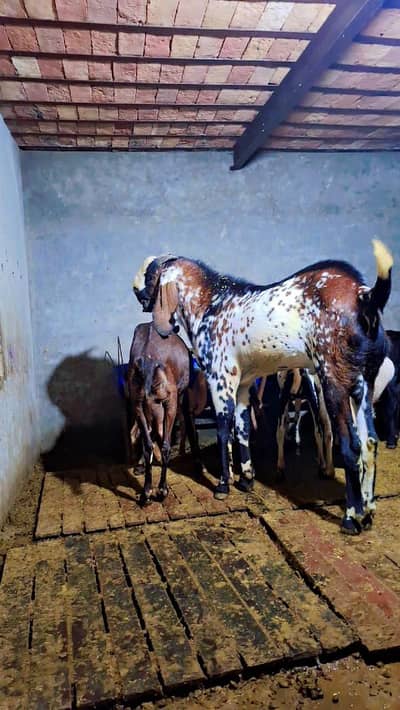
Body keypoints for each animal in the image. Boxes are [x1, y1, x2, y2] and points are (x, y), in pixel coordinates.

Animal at [127, 322, 201, 505]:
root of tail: (147, 363)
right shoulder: (180, 396)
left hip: (139, 404)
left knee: (146, 440)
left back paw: (146, 490)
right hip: (170, 402)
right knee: (164, 441)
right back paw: (162, 489)